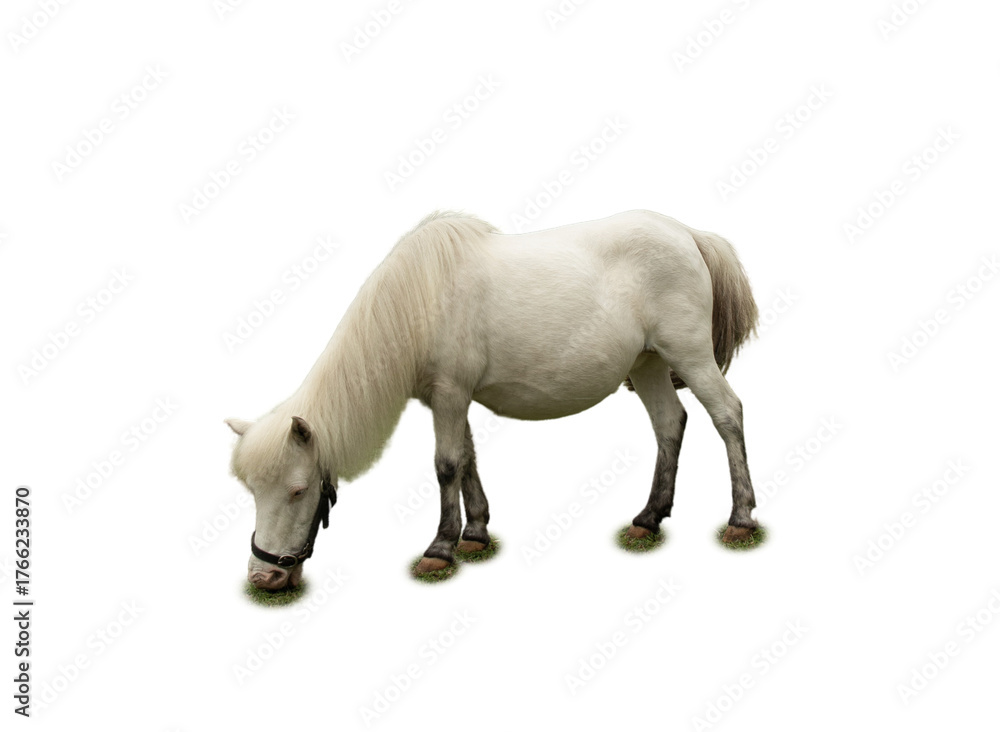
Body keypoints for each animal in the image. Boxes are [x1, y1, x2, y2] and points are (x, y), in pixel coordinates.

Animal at [226, 209, 760, 589]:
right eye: (252, 492)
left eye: (298, 490)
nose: (265, 577)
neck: (419, 300)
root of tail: (688, 234)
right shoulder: (448, 398)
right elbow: (466, 460)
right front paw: (475, 535)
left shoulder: (449, 393)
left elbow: (445, 465)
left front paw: (439, 549)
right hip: (647, 363)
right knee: (670, 423)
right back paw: (648, 519)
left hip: (689, 354)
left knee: (728, 414)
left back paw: (740, 518)